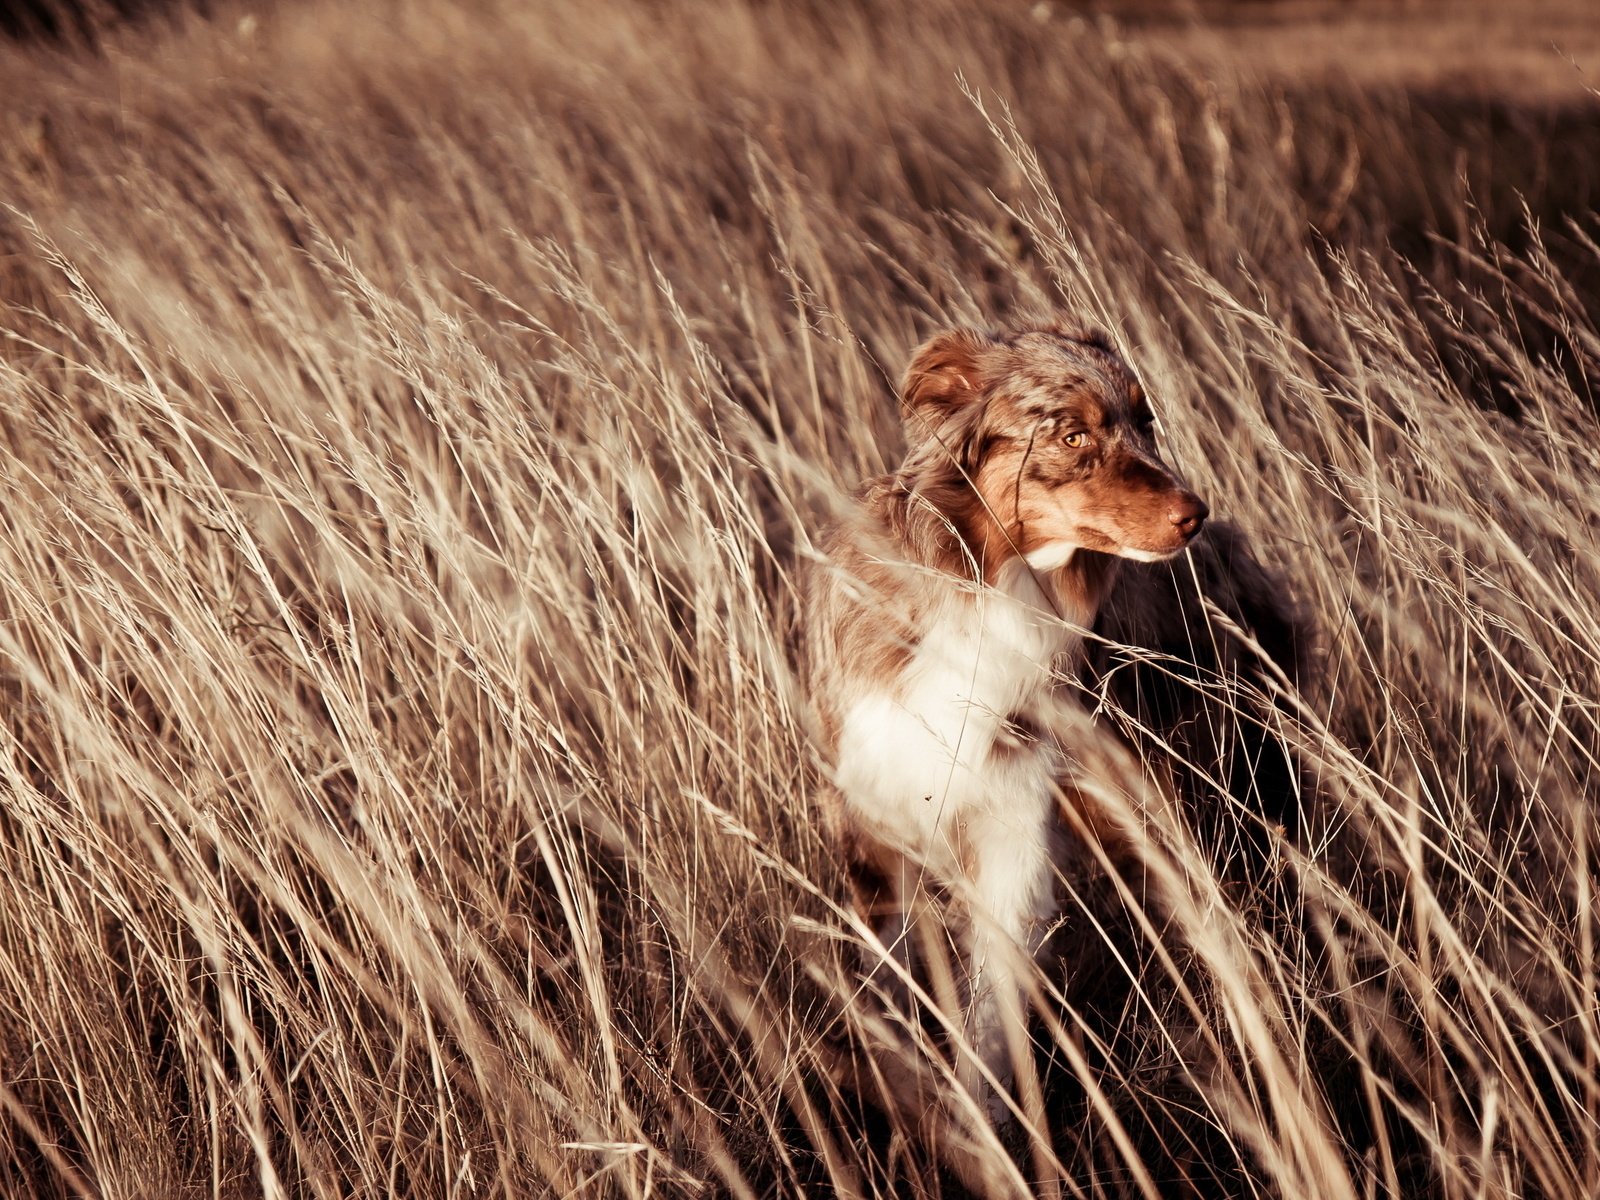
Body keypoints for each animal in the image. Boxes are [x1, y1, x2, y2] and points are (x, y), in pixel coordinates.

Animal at [806, 321, 1203, 1126]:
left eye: (1143, 421)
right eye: (1073, 434)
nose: (1196, 514)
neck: (992, 585)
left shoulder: (1011, 828)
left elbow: (989, 1010)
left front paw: (978, 1125)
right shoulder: (872, 820)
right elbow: (886, 988)